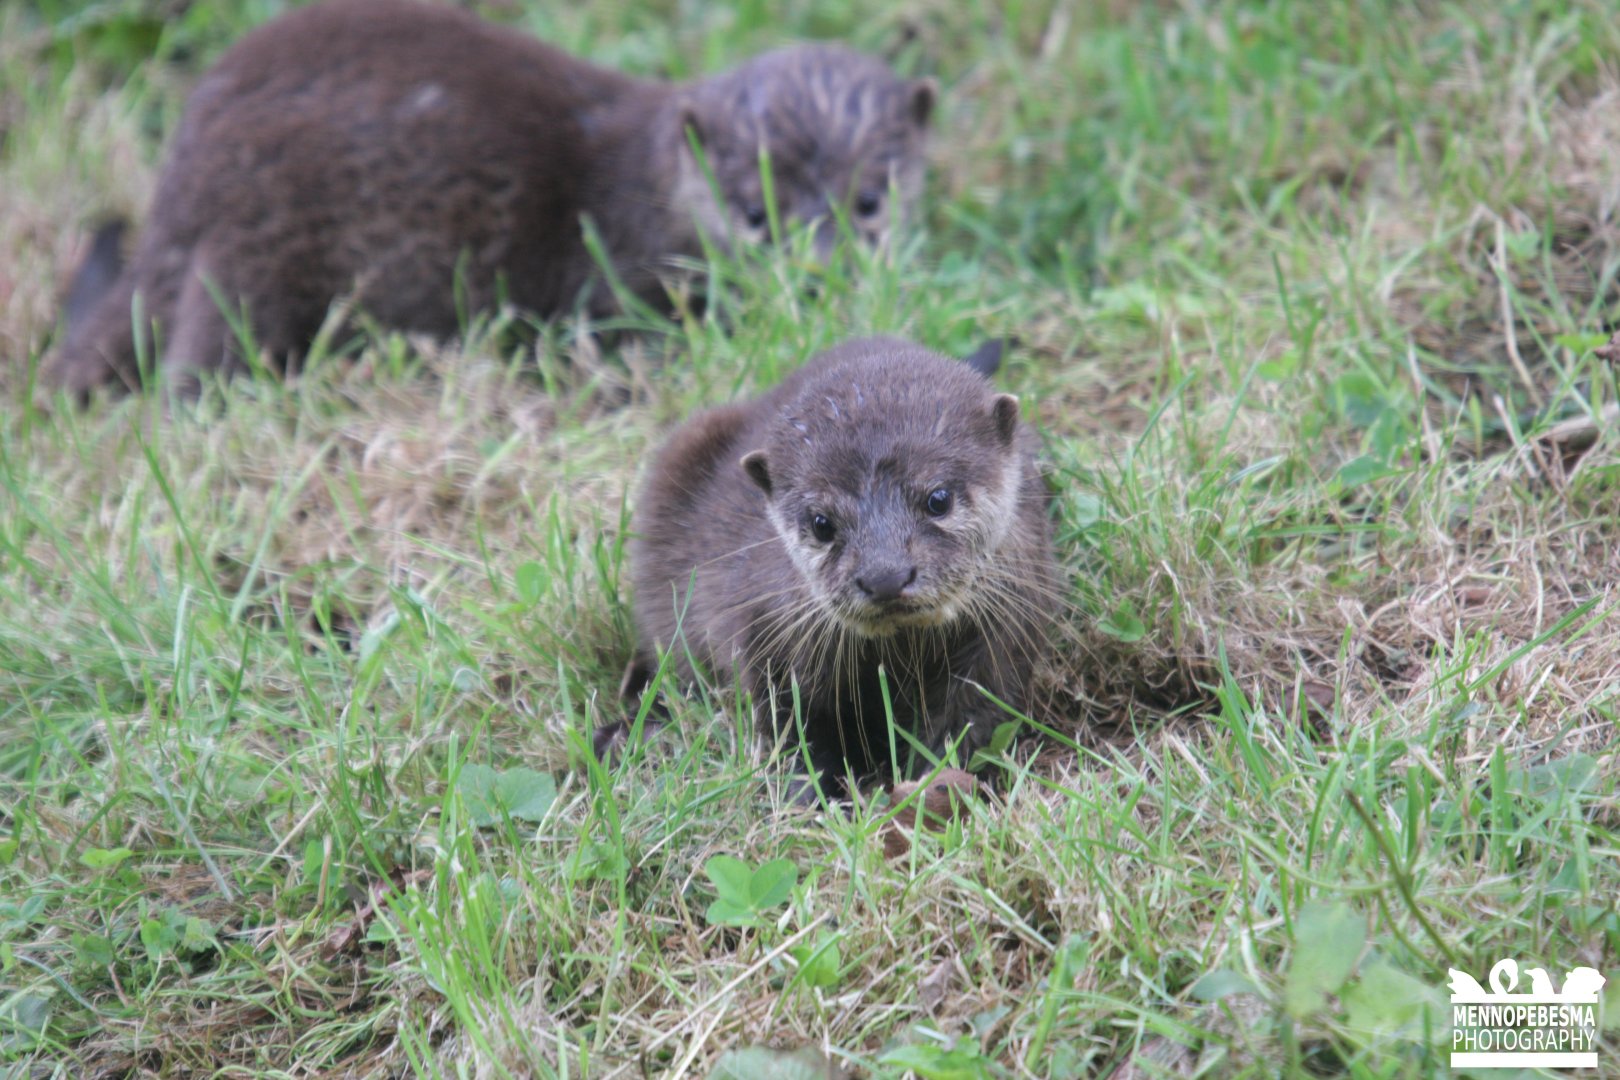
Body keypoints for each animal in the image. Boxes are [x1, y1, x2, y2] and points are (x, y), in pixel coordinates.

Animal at [45, 0, 935, 394]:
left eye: (870, 201)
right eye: (755, 215)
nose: (821, 276)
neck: (639, 190)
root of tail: (177, 186)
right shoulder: (615, 274)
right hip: (249, 251)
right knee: (197, 364)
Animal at [618, 337, 1060, 795]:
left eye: (939, 499)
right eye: (821, 523)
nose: (885, 577)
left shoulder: (1004, 636)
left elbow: (970, 719)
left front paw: (930, 787)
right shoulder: (769, 638)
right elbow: (794, 729)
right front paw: (810, 797)